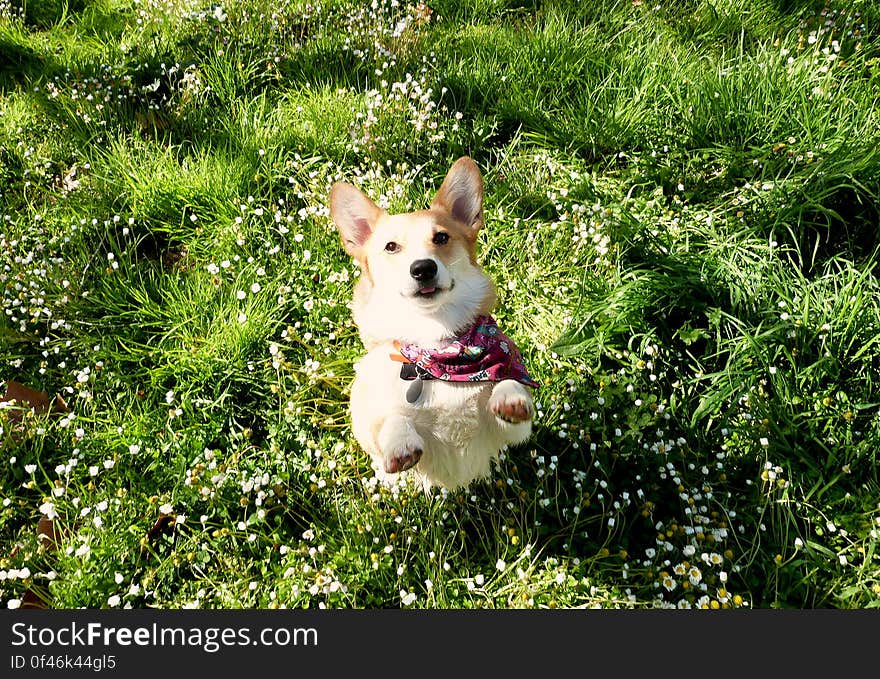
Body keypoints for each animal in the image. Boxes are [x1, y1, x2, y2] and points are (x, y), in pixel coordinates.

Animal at [330, 157, 536, 492]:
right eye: (390, 247)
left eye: (441, 237)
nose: (423, 268)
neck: (438, 347)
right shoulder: (375, 422)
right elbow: (392, 420)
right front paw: (400, 444)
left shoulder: (507, 434)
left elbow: (507, 382)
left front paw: (510, 396)